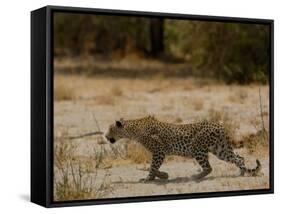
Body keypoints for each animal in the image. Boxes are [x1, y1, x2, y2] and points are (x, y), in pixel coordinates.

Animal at [104, 115, 260, 182]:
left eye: (110, 129)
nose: (105, 136)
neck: (132, 131)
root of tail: (220, 125)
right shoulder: (158, 153)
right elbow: (154, 167)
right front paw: (162, 176)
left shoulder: (159, 151)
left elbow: (153, 166)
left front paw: (148, 178)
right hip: (220, 149)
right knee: (239, 157)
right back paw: (241, 173)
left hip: (198, 148)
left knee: (209, 167)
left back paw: (194, 177)